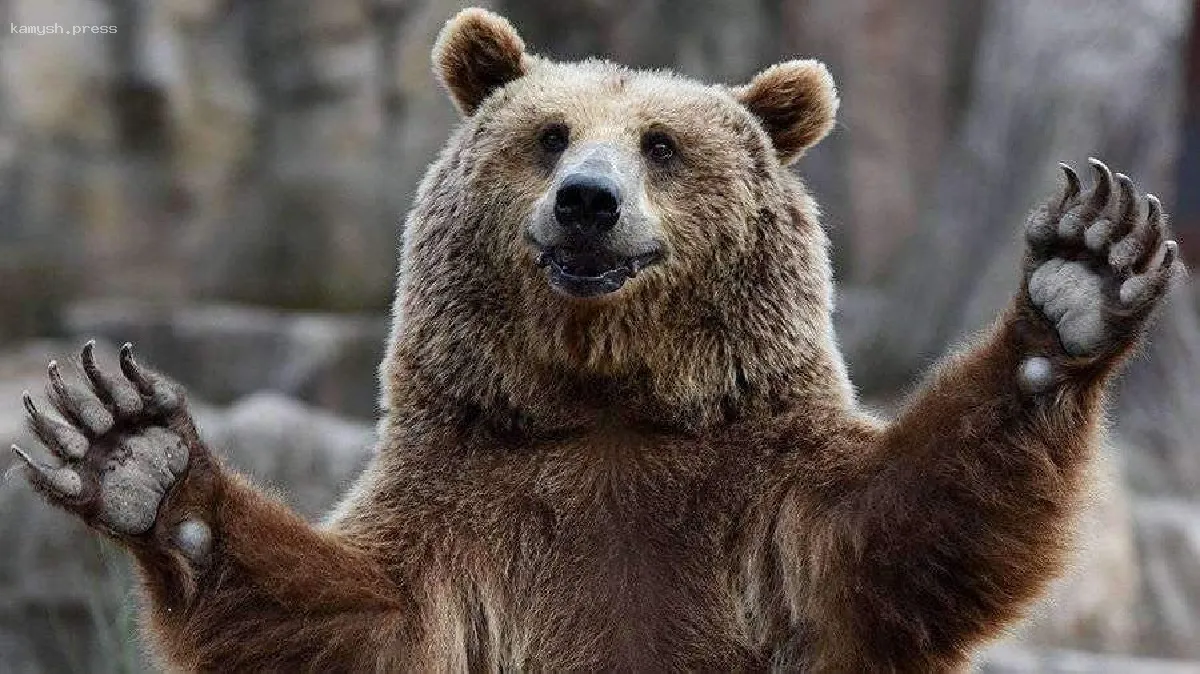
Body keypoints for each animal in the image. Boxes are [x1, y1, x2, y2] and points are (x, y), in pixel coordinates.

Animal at [12, 7, 1183, 673]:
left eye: (661, 144)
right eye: (549, 135)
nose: (586, 202)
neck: (607, 395)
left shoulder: (762, 495)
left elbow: (914, 525)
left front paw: (1079, 275)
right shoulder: (472, 508)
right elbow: (354, 620)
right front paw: (134, 452)